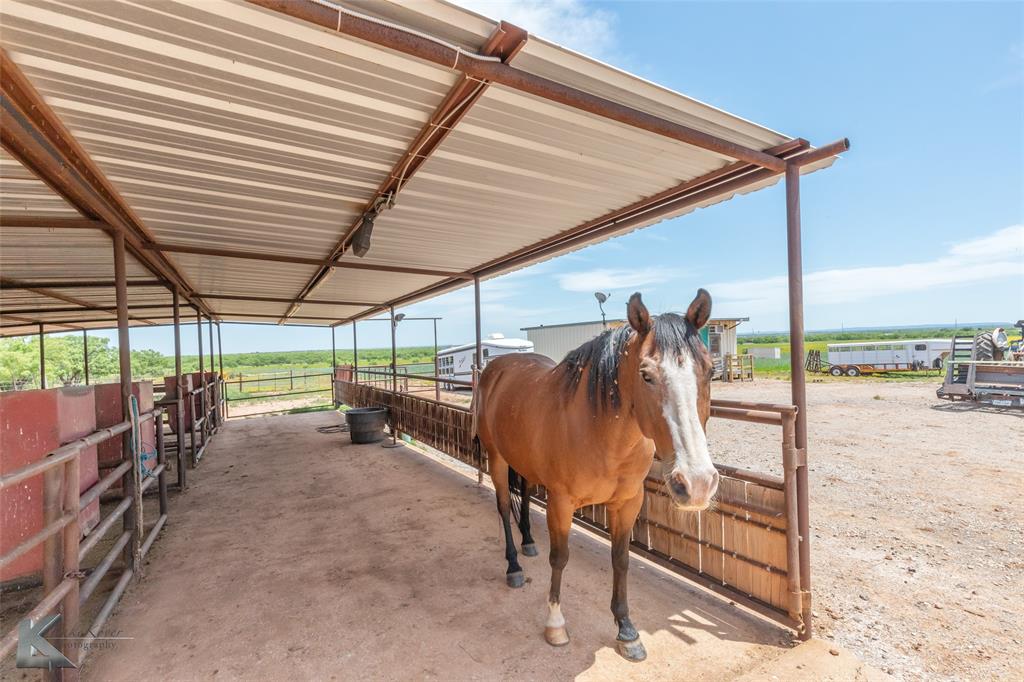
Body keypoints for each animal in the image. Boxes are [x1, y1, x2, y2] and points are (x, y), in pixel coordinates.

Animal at [473, 289, 719, 662]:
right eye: (646, 375)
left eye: (709, 371)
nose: (697, 483)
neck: (600, 432)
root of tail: (498, 367)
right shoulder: (561, 504)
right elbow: (560, 558)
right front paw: (555, 625)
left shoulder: (629, 503)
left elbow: (621, 560)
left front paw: (627, 630)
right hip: (497, 459)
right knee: (503, 507)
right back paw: (513, 566)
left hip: (524, 463)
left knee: (524, 497)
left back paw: (528, 542)